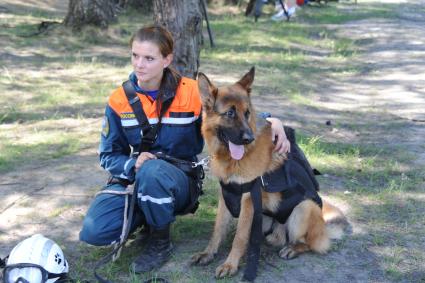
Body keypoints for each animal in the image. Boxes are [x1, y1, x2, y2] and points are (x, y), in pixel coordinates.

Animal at [190, 67, 346, 278]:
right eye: (230, 113)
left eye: (247, 113)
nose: (249, 138)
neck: (231, 158)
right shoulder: (226, 196)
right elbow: (218, 229)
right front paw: (208, 253)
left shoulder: (248, 200)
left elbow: (239, 237)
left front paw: (230, 264)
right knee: (276, 238)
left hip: (304, 208)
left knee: (310, 243)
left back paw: (293, 248)